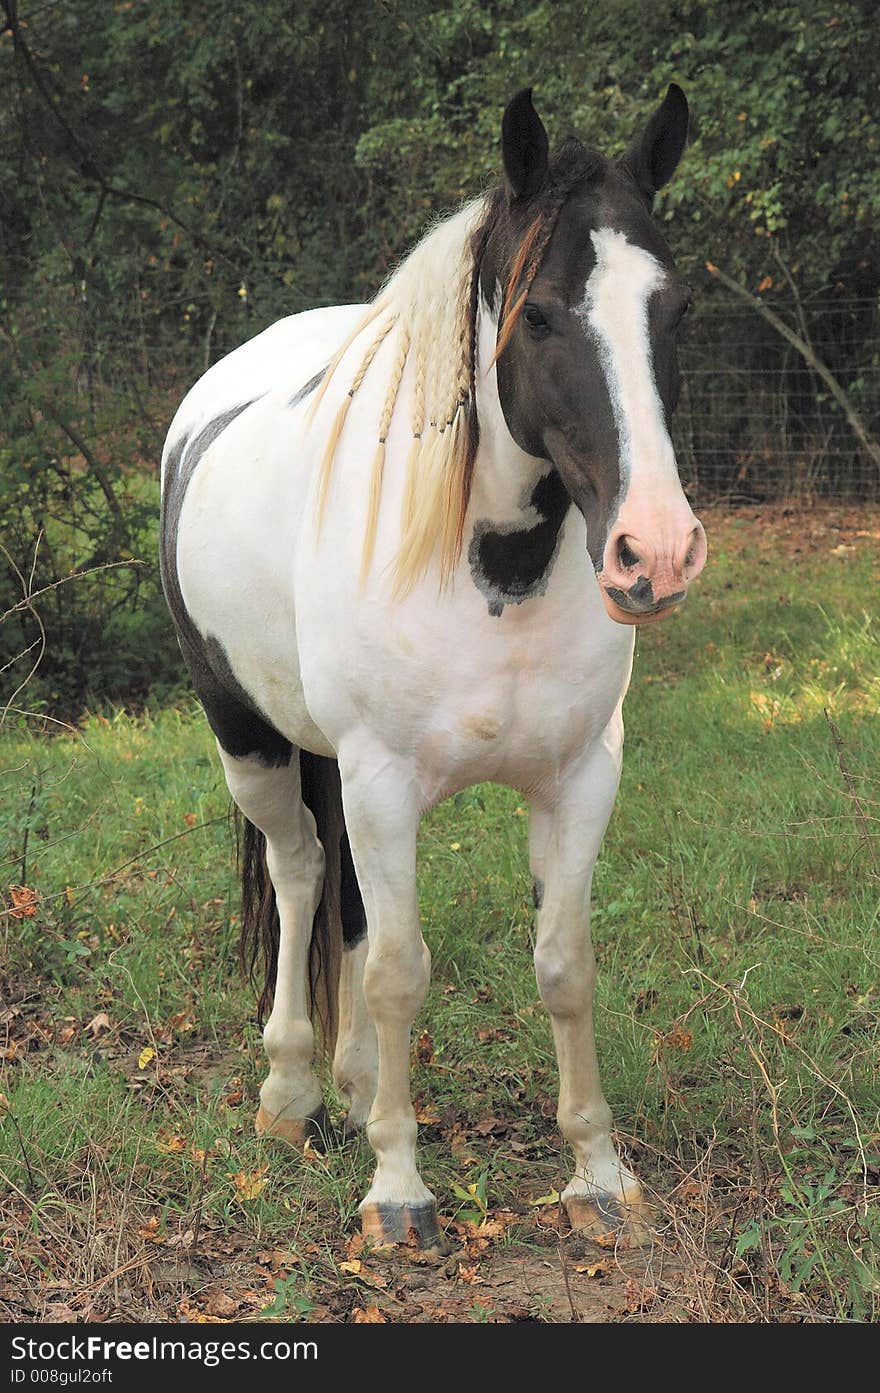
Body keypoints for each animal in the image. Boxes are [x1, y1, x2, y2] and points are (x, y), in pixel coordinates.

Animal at [160, 87, 707, 1259]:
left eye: (674, 308)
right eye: (538, 316)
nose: (654, 552)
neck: (489, 567)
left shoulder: (580, 777)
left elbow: (561, 962)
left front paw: (598, 1173)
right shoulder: (378, 782)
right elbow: (401, 971)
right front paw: (398, 1188)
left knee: (350, 909)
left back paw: (356, 1084)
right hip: (251, 742)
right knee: (301, 874)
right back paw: (292, 1090)